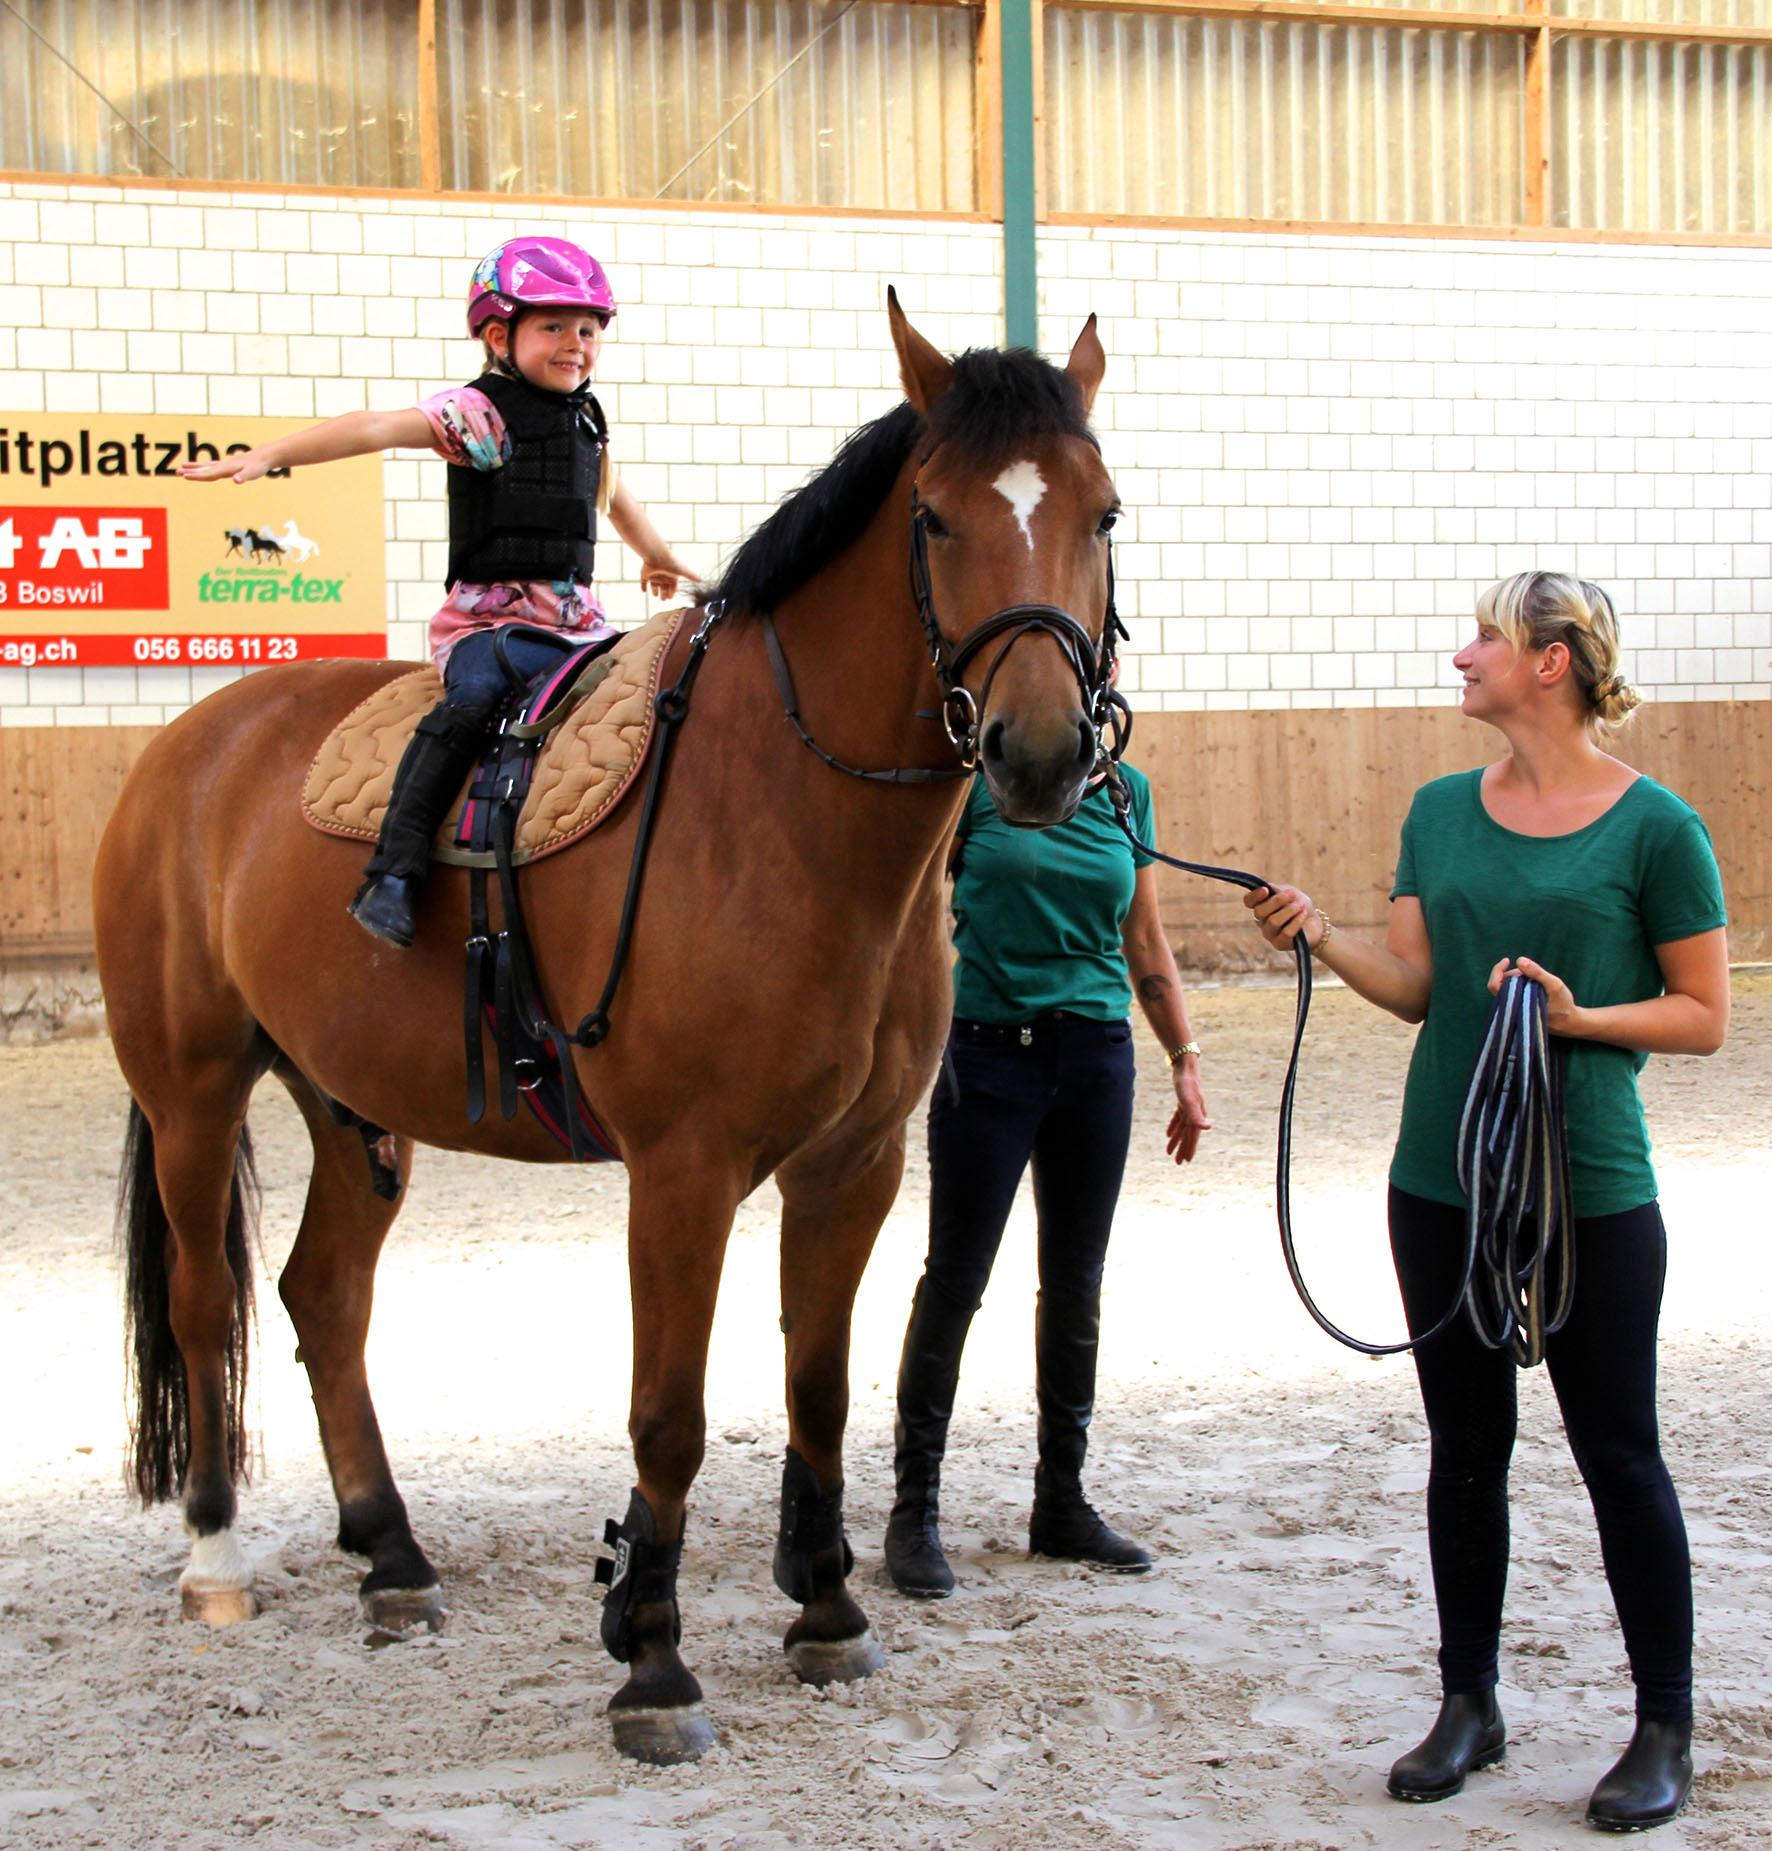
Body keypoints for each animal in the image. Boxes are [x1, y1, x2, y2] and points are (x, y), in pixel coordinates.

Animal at [96, 299, 1110, 1762]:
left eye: (1104, 512)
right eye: (932, 518)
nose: (1039, 751)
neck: (777, 807)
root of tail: (188, 747)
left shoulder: (852, 1166)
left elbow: (819, 1388)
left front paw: (826, 1612)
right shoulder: (681, 1173)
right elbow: (668, 1418)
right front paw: (652, 1660)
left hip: (353, 1108)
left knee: (322, 1297)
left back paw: (392, 1556)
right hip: (192, 1093)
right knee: (198, 1307)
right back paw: (219, 1558)